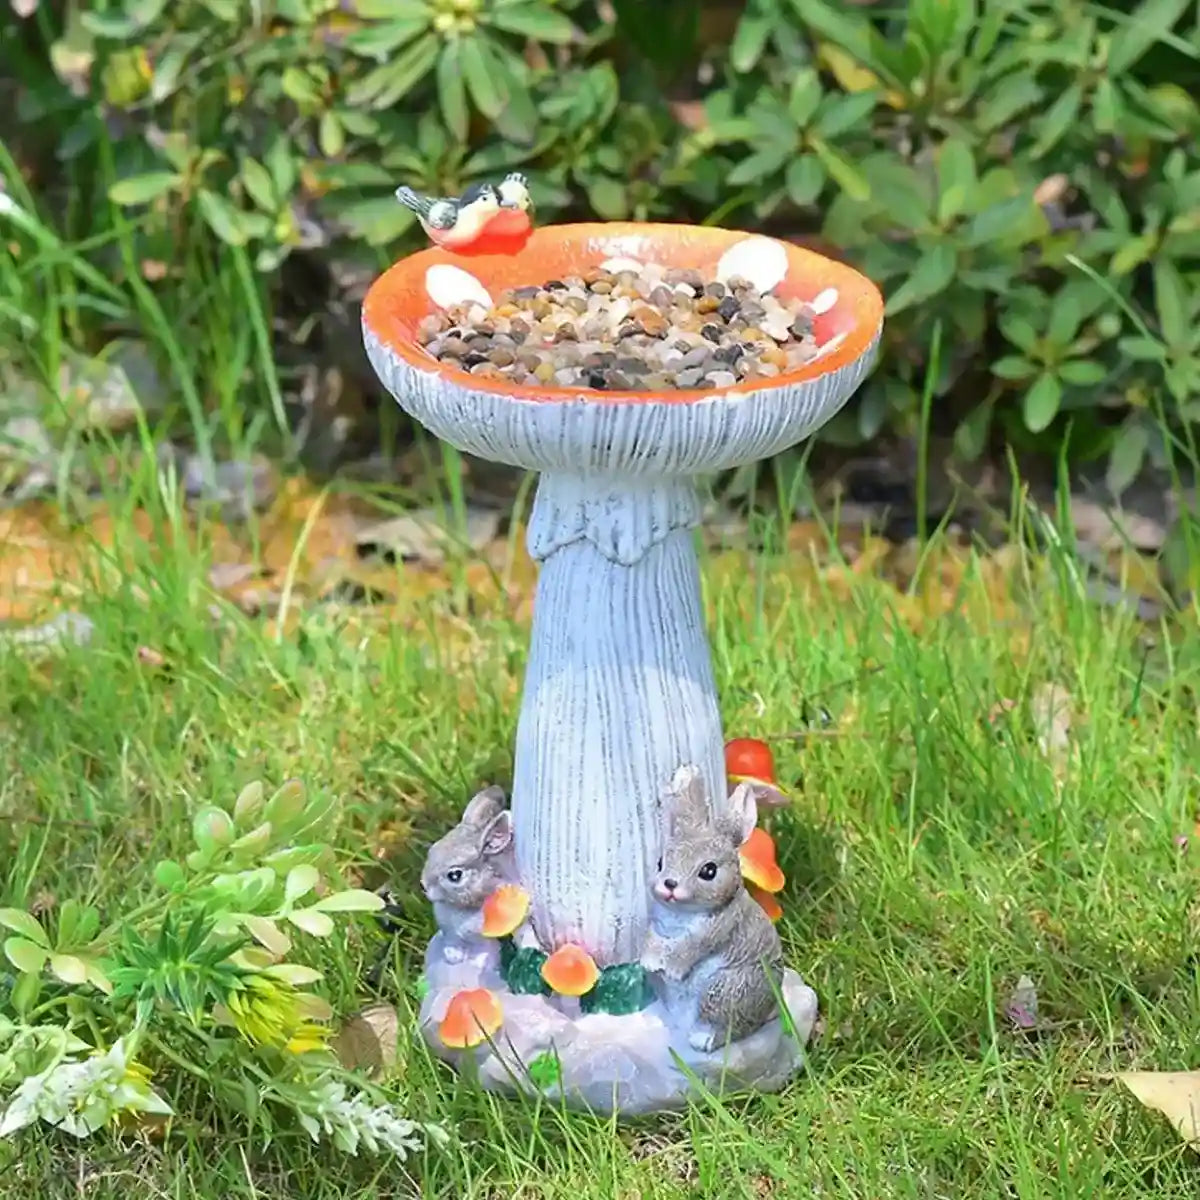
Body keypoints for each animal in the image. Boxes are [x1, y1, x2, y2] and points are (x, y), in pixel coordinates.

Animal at [641, 765, 784, 1052]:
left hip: (725, 990)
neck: (682, 911)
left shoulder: (718, 927)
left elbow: (691, 946)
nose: (669, 885)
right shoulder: (657, 924)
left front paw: (672, 969)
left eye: (709, 871)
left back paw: (701, 1040)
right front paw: (649, 962)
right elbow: (654, 938)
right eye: (660, 862)